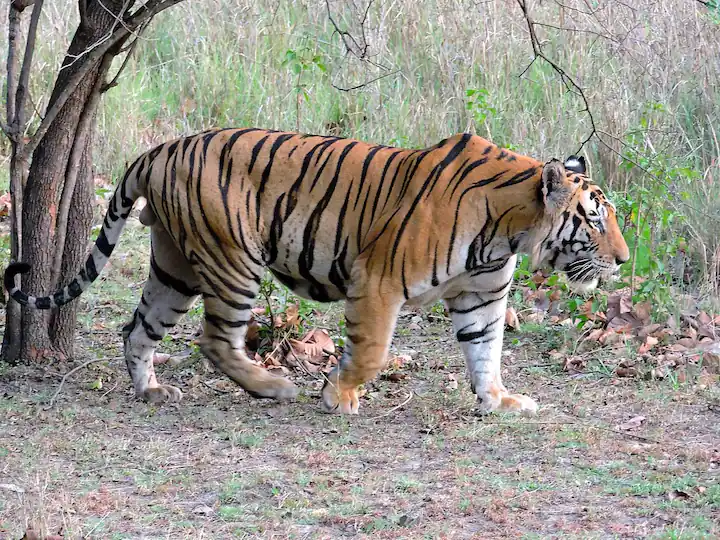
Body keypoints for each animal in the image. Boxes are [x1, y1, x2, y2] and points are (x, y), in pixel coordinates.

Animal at [2, 129, 628, 416]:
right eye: (595, 219)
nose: (624, 260)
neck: (508, 230)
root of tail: (160, 149)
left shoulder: (482, 297)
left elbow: (486, 351)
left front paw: (499, 400)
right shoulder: (378, 282)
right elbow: (372, 351)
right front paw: (338, 394)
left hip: (173, 267)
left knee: (137, 329)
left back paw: (152, 390)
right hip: (234, 260)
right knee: (215, 340)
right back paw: (271, 386)